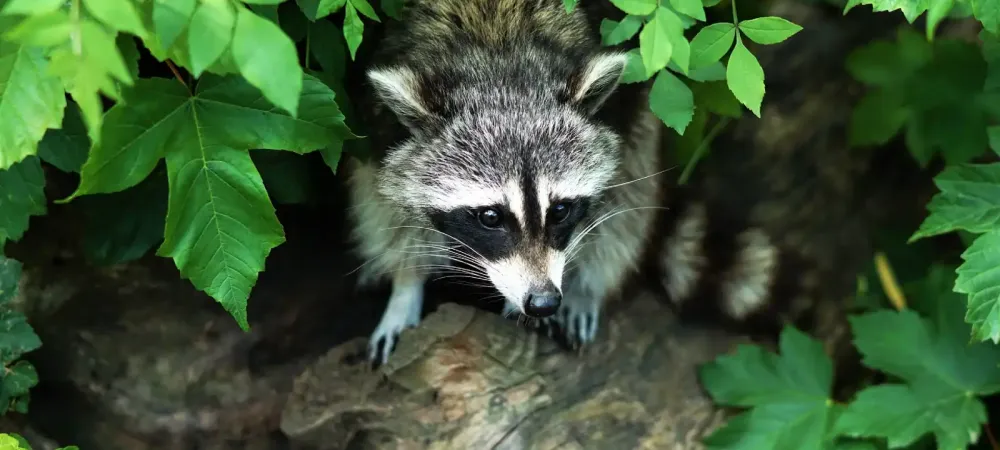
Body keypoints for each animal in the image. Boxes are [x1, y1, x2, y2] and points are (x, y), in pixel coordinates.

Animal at [343, 0, 665, 363]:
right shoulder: (379, 125)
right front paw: (405, 285)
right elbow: (386, 204)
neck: (499, 55)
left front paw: (579, 288)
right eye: (490, 217)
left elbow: (617, 197)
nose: (543, 302)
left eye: (560, 211)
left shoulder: (620, 111)